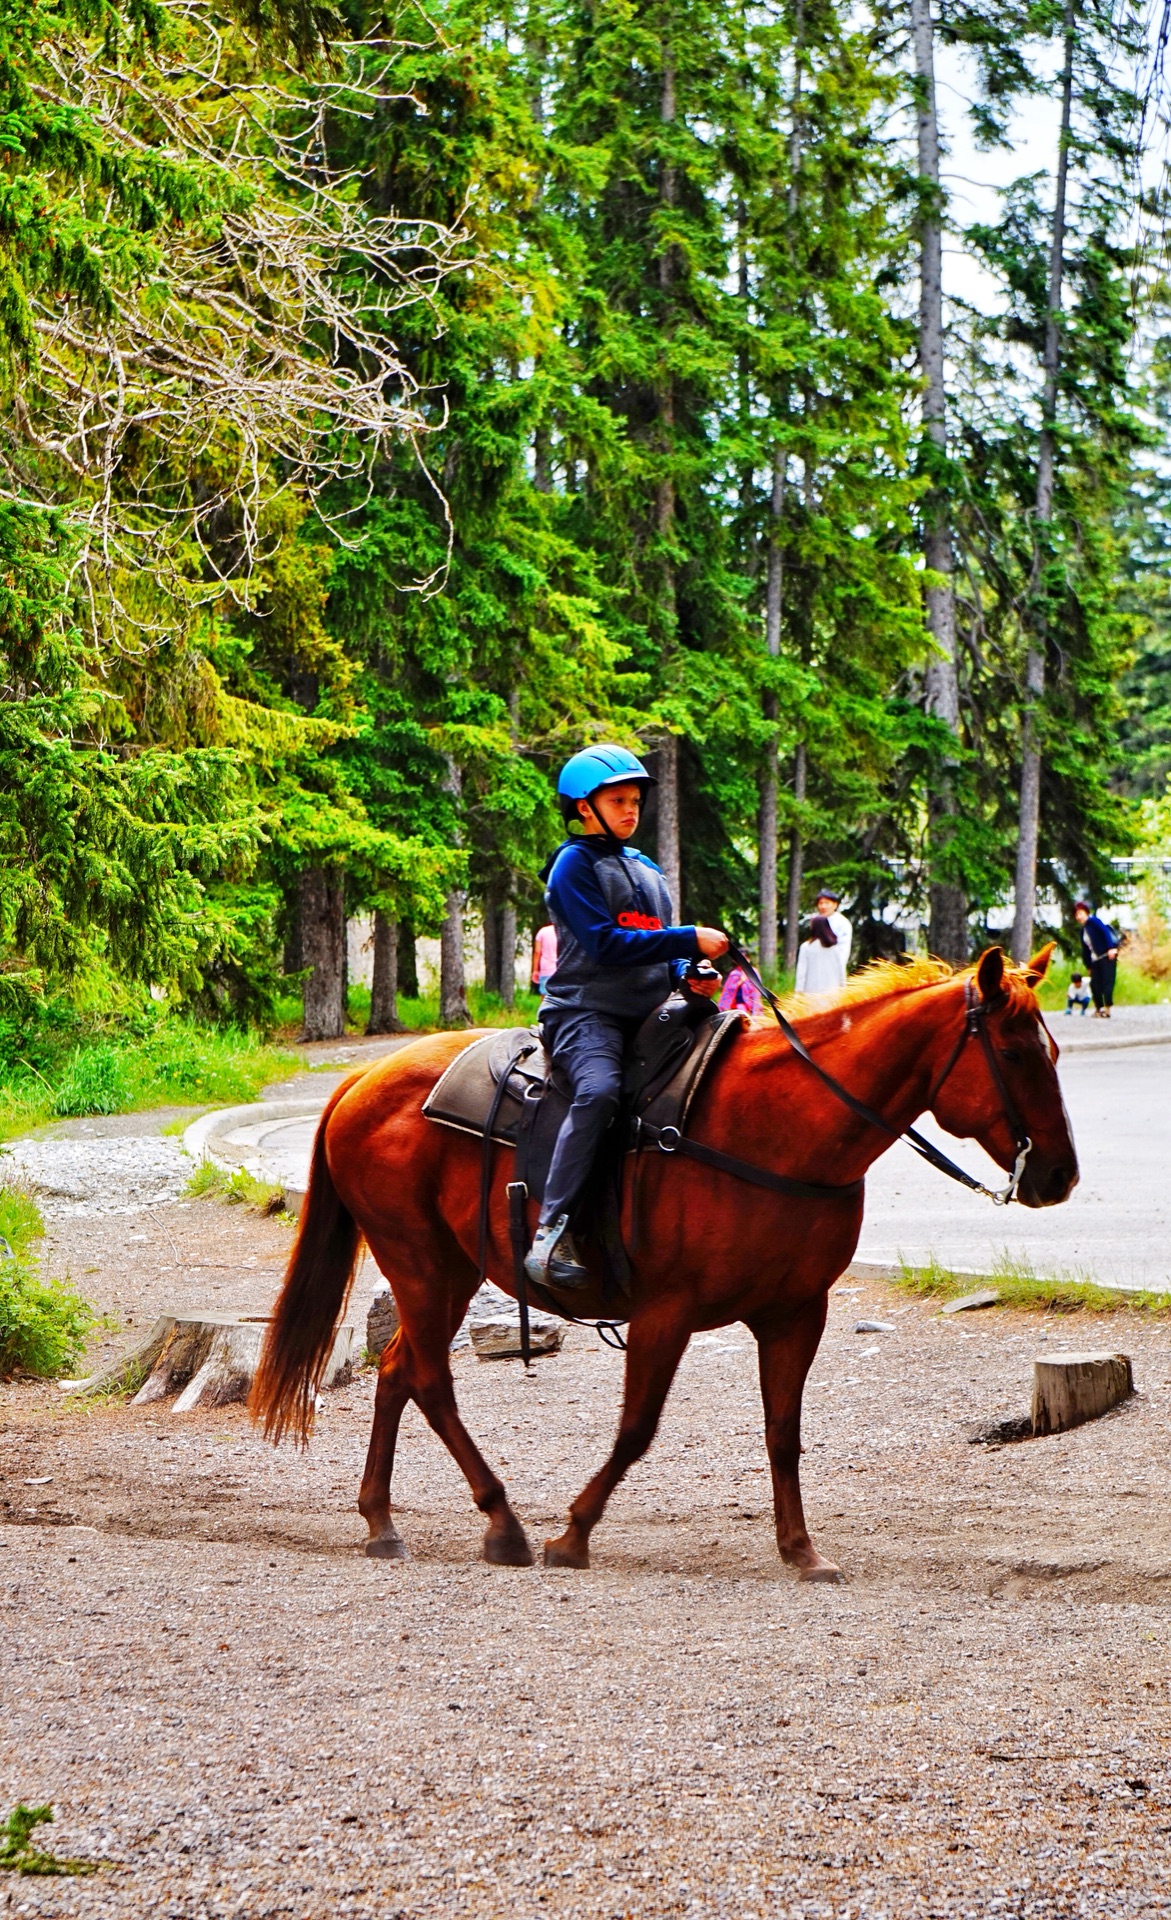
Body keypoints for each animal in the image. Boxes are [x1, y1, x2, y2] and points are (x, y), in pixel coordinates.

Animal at [251, 936, 1075, 1582]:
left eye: (1054, 1050)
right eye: (1011, 1052)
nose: (1059, 1175)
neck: (779, 1124)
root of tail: (360, 1081)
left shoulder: (795, 1314)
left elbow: (783, 1433)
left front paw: (801, 1551)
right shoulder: (664, 1311)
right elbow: (636, 1429)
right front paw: (573, 1534)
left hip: (447, 1272)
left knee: (398, 1373)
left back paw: (382, 1522)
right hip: (422, 1264)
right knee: (428, 1380)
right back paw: (503, 1524)